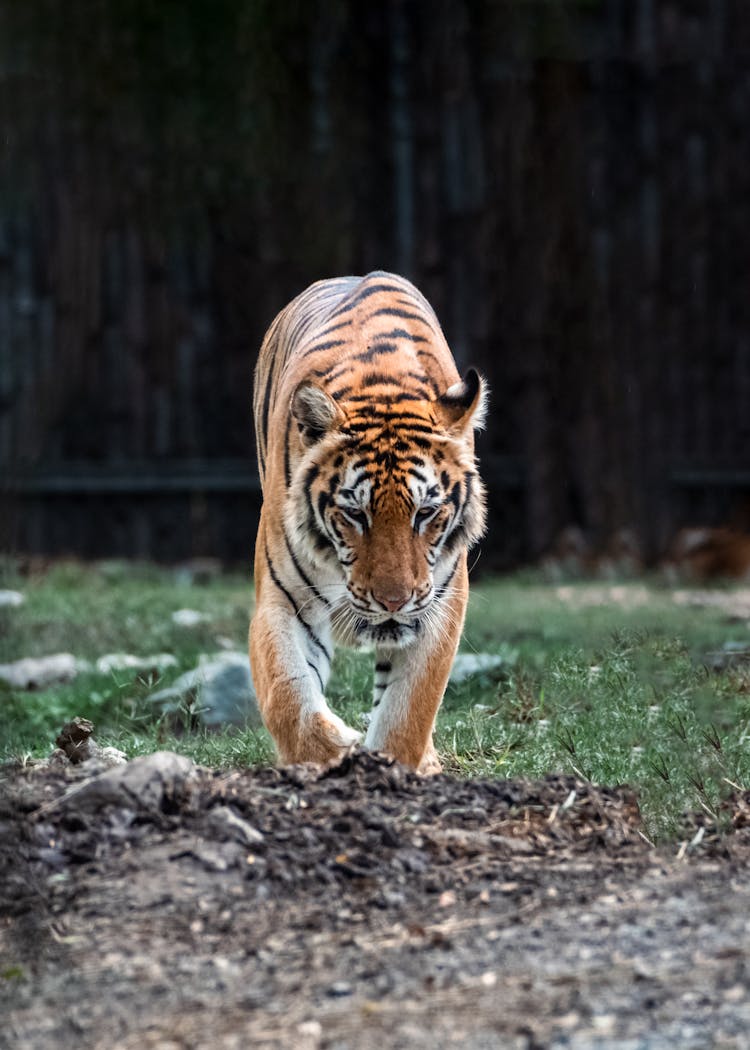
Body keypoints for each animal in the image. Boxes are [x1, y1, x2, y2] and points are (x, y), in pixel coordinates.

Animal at [247, 270, 487, 772]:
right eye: (355, 514)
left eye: (425, 512)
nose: (393, 603)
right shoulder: (282, 598)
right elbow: (287, 696)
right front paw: (333, 752)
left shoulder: (441, 599)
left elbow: (410, 709)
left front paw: (392, 764)